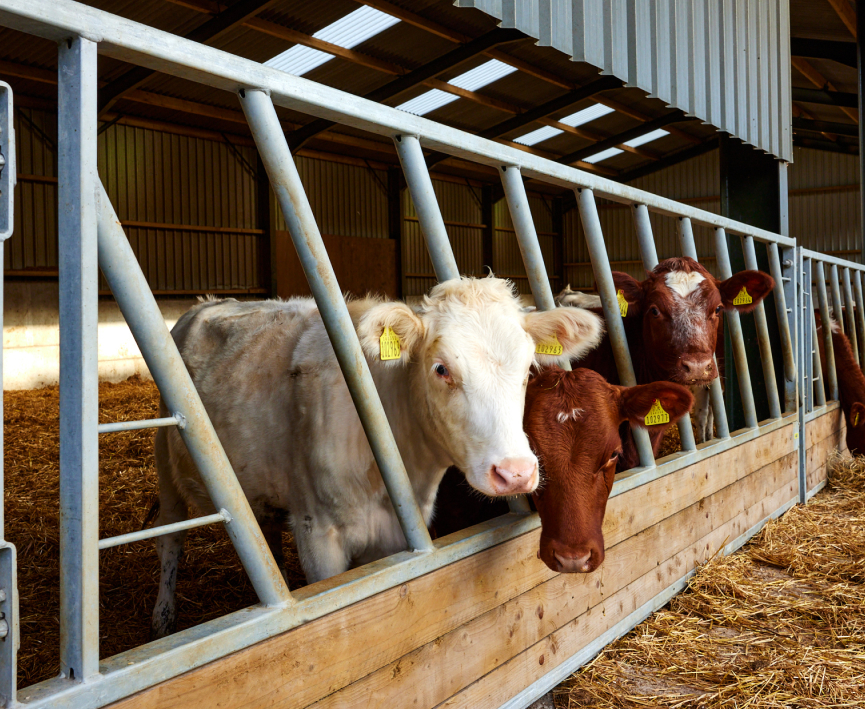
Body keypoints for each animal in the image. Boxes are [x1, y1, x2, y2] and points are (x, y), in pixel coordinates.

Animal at [151, 276, 603, 637]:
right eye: (441, 369)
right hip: (166, 458)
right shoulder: (318, 534)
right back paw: (162, 618)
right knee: (170, 533)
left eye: (528, 370)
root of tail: (209, 302)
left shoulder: (398, 535)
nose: (515, 473)